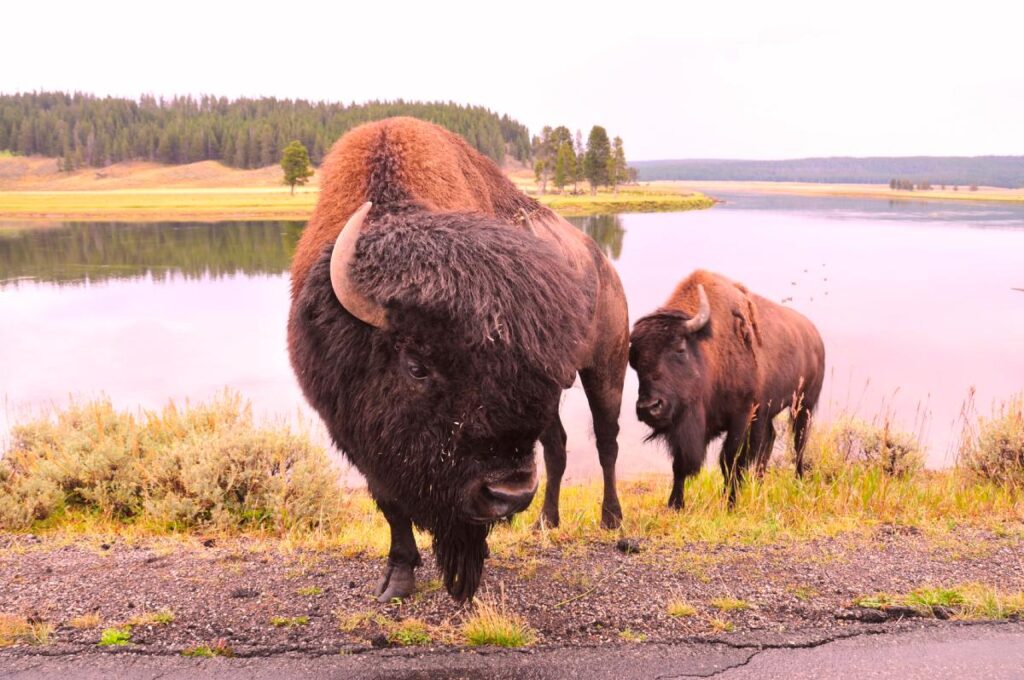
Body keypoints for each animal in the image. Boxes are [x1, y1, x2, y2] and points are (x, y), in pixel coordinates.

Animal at [284, 116, 626, 602]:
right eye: (417, 366)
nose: (510, 493)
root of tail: (602, 262)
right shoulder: (357, 435)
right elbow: (390, 504)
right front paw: (397, 579)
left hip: (606, 369)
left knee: (607, 441)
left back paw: (611, 518)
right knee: (558, 447)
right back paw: (546, 521)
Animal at [630, 270, 823, 510]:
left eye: (680, 349)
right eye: (634, 359)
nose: (649, 407)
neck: (707, 350)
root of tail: (815, 336)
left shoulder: (741, 415)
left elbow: (730, 459)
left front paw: (730, 502)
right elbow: (680, 463)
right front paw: (675, 505)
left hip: (803, 405)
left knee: (799, 443)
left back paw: (798, 482)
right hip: (767, 410)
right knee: (769, 441)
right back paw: (759, 484)